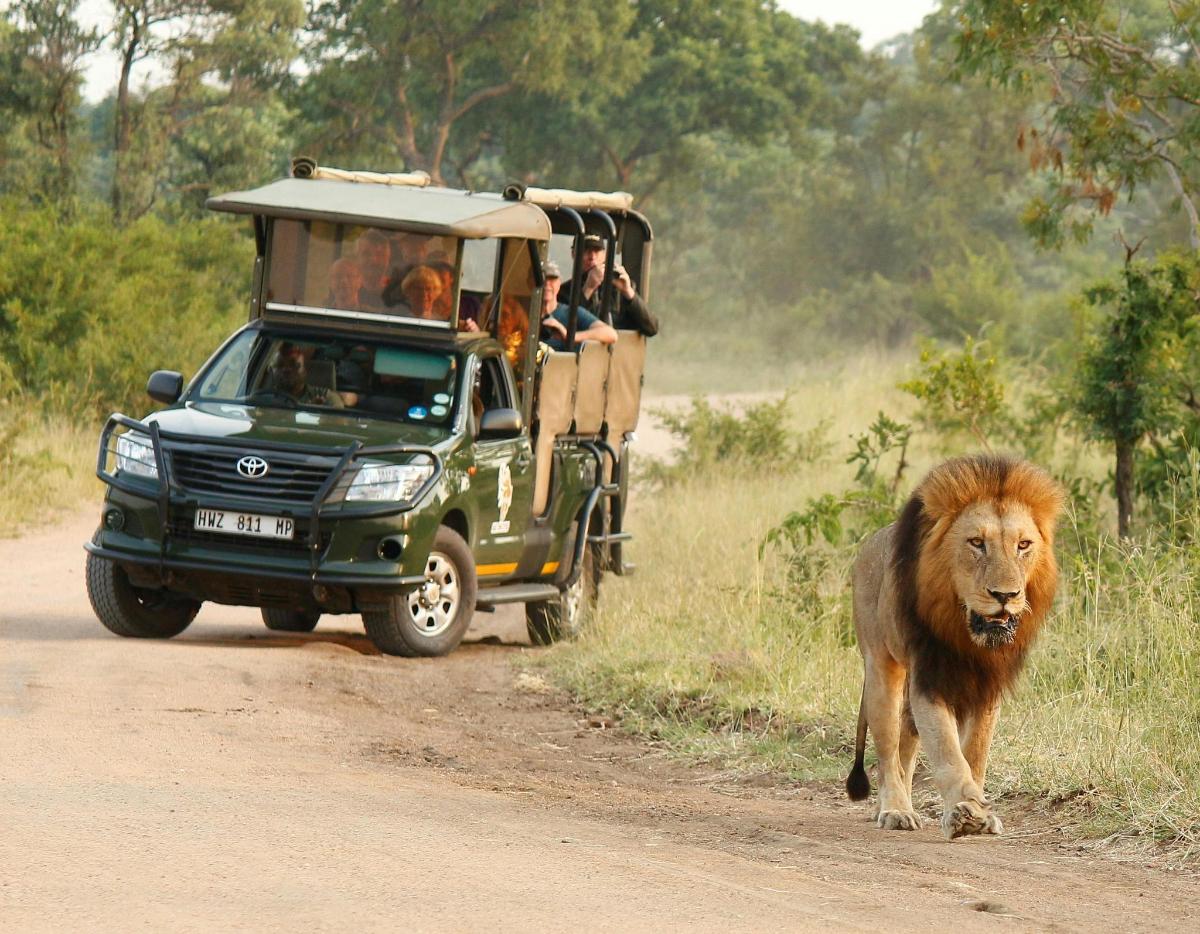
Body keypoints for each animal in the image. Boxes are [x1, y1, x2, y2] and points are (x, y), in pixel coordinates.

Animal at [849, 451, 1065, 835]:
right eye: (976, 543)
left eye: (1023, 545)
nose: (1005, 595)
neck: (968, 636)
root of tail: (870, 541)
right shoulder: (930, 678)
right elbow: (947, 750)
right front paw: (965, 810)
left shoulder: (987, 686)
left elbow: (974, 751)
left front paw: (979, 811)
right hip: (881, 668)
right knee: (888, 749)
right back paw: (895, 809)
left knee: (905, 748)